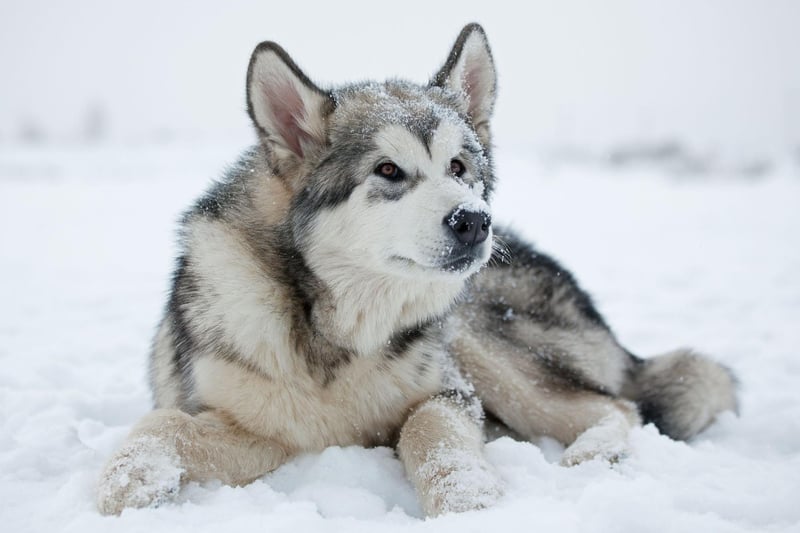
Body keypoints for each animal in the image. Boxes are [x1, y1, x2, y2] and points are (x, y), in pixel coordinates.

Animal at [95, 23, 736, 516]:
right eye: (388, 171)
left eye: (458, 167)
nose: (474, 221)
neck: (336, 332)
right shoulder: (263, 429)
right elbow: (162, 425)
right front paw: (126, 483)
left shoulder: (450, 391)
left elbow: (426, 432)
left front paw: (470, 504)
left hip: (482, 341)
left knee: (618, 406)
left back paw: (594, 454)